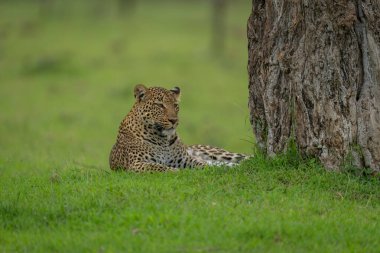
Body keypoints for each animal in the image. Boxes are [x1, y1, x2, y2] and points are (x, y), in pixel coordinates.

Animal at [109, 84, 249, 172]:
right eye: (160, 105)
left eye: (176, 105)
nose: (174, 120)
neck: (162, 140)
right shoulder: (135, 164)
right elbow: (158, 167)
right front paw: (175, 171)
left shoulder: (185, 160)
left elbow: (201, 164)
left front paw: (210, 168)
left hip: (222, 153)